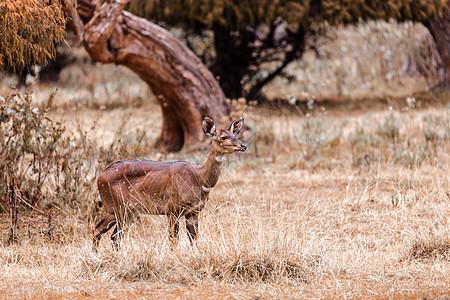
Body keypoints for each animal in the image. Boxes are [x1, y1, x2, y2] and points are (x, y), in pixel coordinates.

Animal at [92, 116, 246, 250]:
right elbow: (173, 240)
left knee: (115, 236)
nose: (243, 145)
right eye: (223, 137)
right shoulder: (172, 208)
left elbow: (194, 239)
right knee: (97, 229)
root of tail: (100, 176)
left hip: (129, 212)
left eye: (235, 134)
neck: (199, 179)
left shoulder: (194, 212)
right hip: (114, 208)